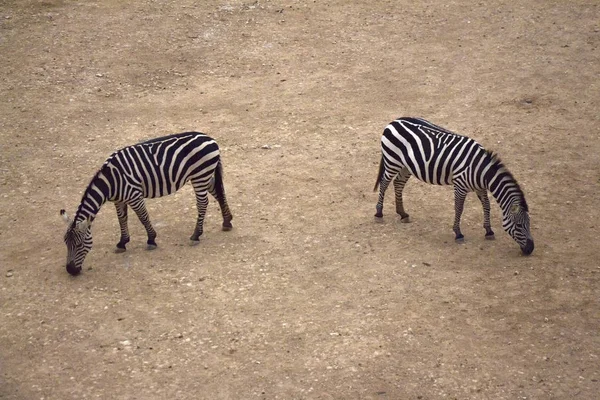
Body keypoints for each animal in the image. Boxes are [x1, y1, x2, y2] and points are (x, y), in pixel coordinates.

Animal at [61, 131, 233, 276]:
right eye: (66, 244)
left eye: (78, 245)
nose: (70, 271)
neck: (110, 181)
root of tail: (210, 138)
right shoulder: (119, 200)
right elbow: (122, 219)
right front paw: (122, 243)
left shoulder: (134, 196)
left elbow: (143, 217)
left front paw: (151, 239)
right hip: (204, 175)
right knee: (218, 192)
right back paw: (227, 221)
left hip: (200, 175)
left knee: (203, 203)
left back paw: (196, 235)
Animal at [376, 117, 536, 255]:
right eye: (519, 225)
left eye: (529, 224)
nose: (530, 249)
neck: (482, 171)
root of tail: (394, 121)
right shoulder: (460, 185)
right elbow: (459, 208)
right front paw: (458, 233)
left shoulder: (480, 187)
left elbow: (486, 205)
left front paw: (488, 230)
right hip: (392, 160)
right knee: (384, 183)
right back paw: (379, 213)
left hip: (406, 166)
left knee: (398, 183)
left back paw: (402, 213)